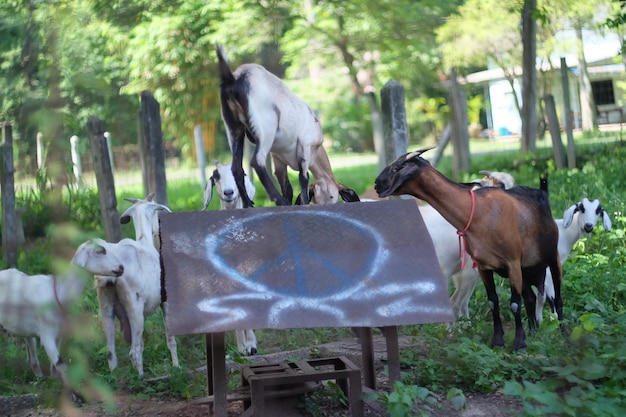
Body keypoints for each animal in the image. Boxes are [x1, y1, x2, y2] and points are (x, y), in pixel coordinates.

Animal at [214, 45, 356, 206]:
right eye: (331, 196)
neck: (317, 149)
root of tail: (233, 78)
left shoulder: (278, 158)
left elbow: (287, 186)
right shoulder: (305, 146)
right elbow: (303, 178)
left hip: (234, 128)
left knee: (236, 168)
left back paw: (248, 203)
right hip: (266, 127)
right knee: (257, 161)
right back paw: (279, 200)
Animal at [370, 148, 560, 350]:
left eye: (397, 167)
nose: (376, 184)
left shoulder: (498, 265)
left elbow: (505, 303)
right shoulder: (471, 269)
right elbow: (483, 302)